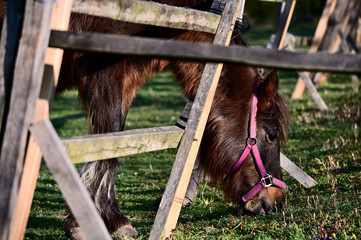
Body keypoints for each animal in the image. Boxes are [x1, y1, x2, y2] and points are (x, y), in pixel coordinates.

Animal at [57, 0, 288, 237]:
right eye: (271, 135)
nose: (278, 201)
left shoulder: (126, 78)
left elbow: (113, 141)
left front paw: (109, 217)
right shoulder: (103, 71)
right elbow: (107, 141)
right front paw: (84, 223)